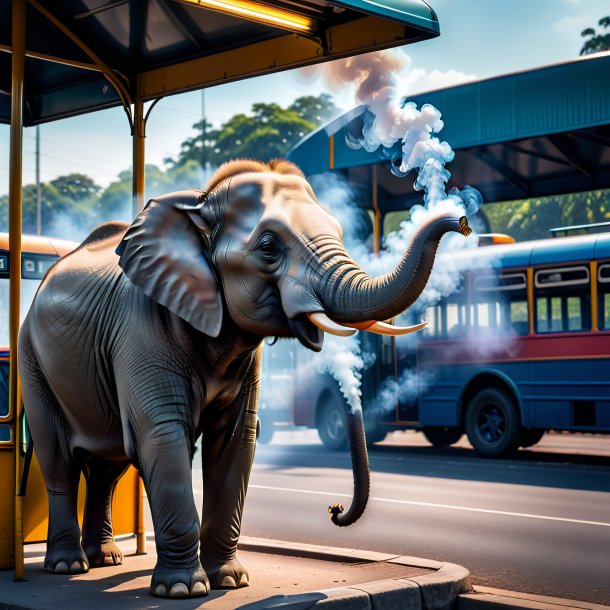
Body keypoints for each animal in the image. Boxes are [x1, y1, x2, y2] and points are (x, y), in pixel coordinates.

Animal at [16, 156, 468, 592]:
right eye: (268, 246)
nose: (462, 222)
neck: (200, 204)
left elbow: (236, 438)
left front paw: (230, 581)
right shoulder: (139, 328)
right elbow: (161, 433)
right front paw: (183, 590)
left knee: (108, 469)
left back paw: (106, 560)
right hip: (30, 358)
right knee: (60, 459)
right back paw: (69, 565)